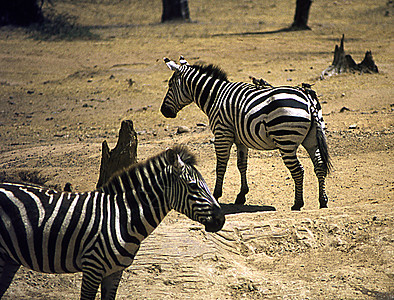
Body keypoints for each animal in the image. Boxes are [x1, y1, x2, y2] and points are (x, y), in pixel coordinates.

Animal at [0, 146, 225, 300]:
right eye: (193, 186)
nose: (221, 220)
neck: (121, 216)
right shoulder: (92, 267)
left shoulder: (115, 272)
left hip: (9, 258)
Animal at [162, 56, 330, 211]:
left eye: (170, 85)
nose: (163, 111)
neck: (215, 96)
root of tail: (307, 99)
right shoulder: (241, 140)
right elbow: (241, 165)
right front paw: (241, 195)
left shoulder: (222, 134)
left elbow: (221, 165)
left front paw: (216, 195)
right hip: (311, 139)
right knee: (320, 165)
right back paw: (323, 201)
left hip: (286, 140)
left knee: (298, 170)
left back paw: (297, 203)